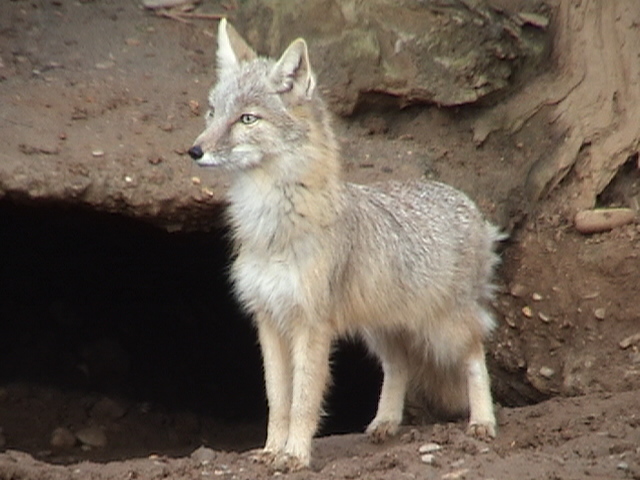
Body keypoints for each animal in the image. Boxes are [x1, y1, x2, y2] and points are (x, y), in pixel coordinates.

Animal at [188, 18, 502, 472]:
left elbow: (303, 401)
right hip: (382, 330)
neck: (271, 227)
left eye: (247, 119)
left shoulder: (311, 326)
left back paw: (482, 421)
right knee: (400, 365)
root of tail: (468, 204)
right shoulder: (268, 320)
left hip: (444, 328)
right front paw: (271, 450)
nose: (194, 150)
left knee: (476, 355)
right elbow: (277, 400)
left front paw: (296, 455)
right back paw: (386, 422)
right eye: (213, 112)